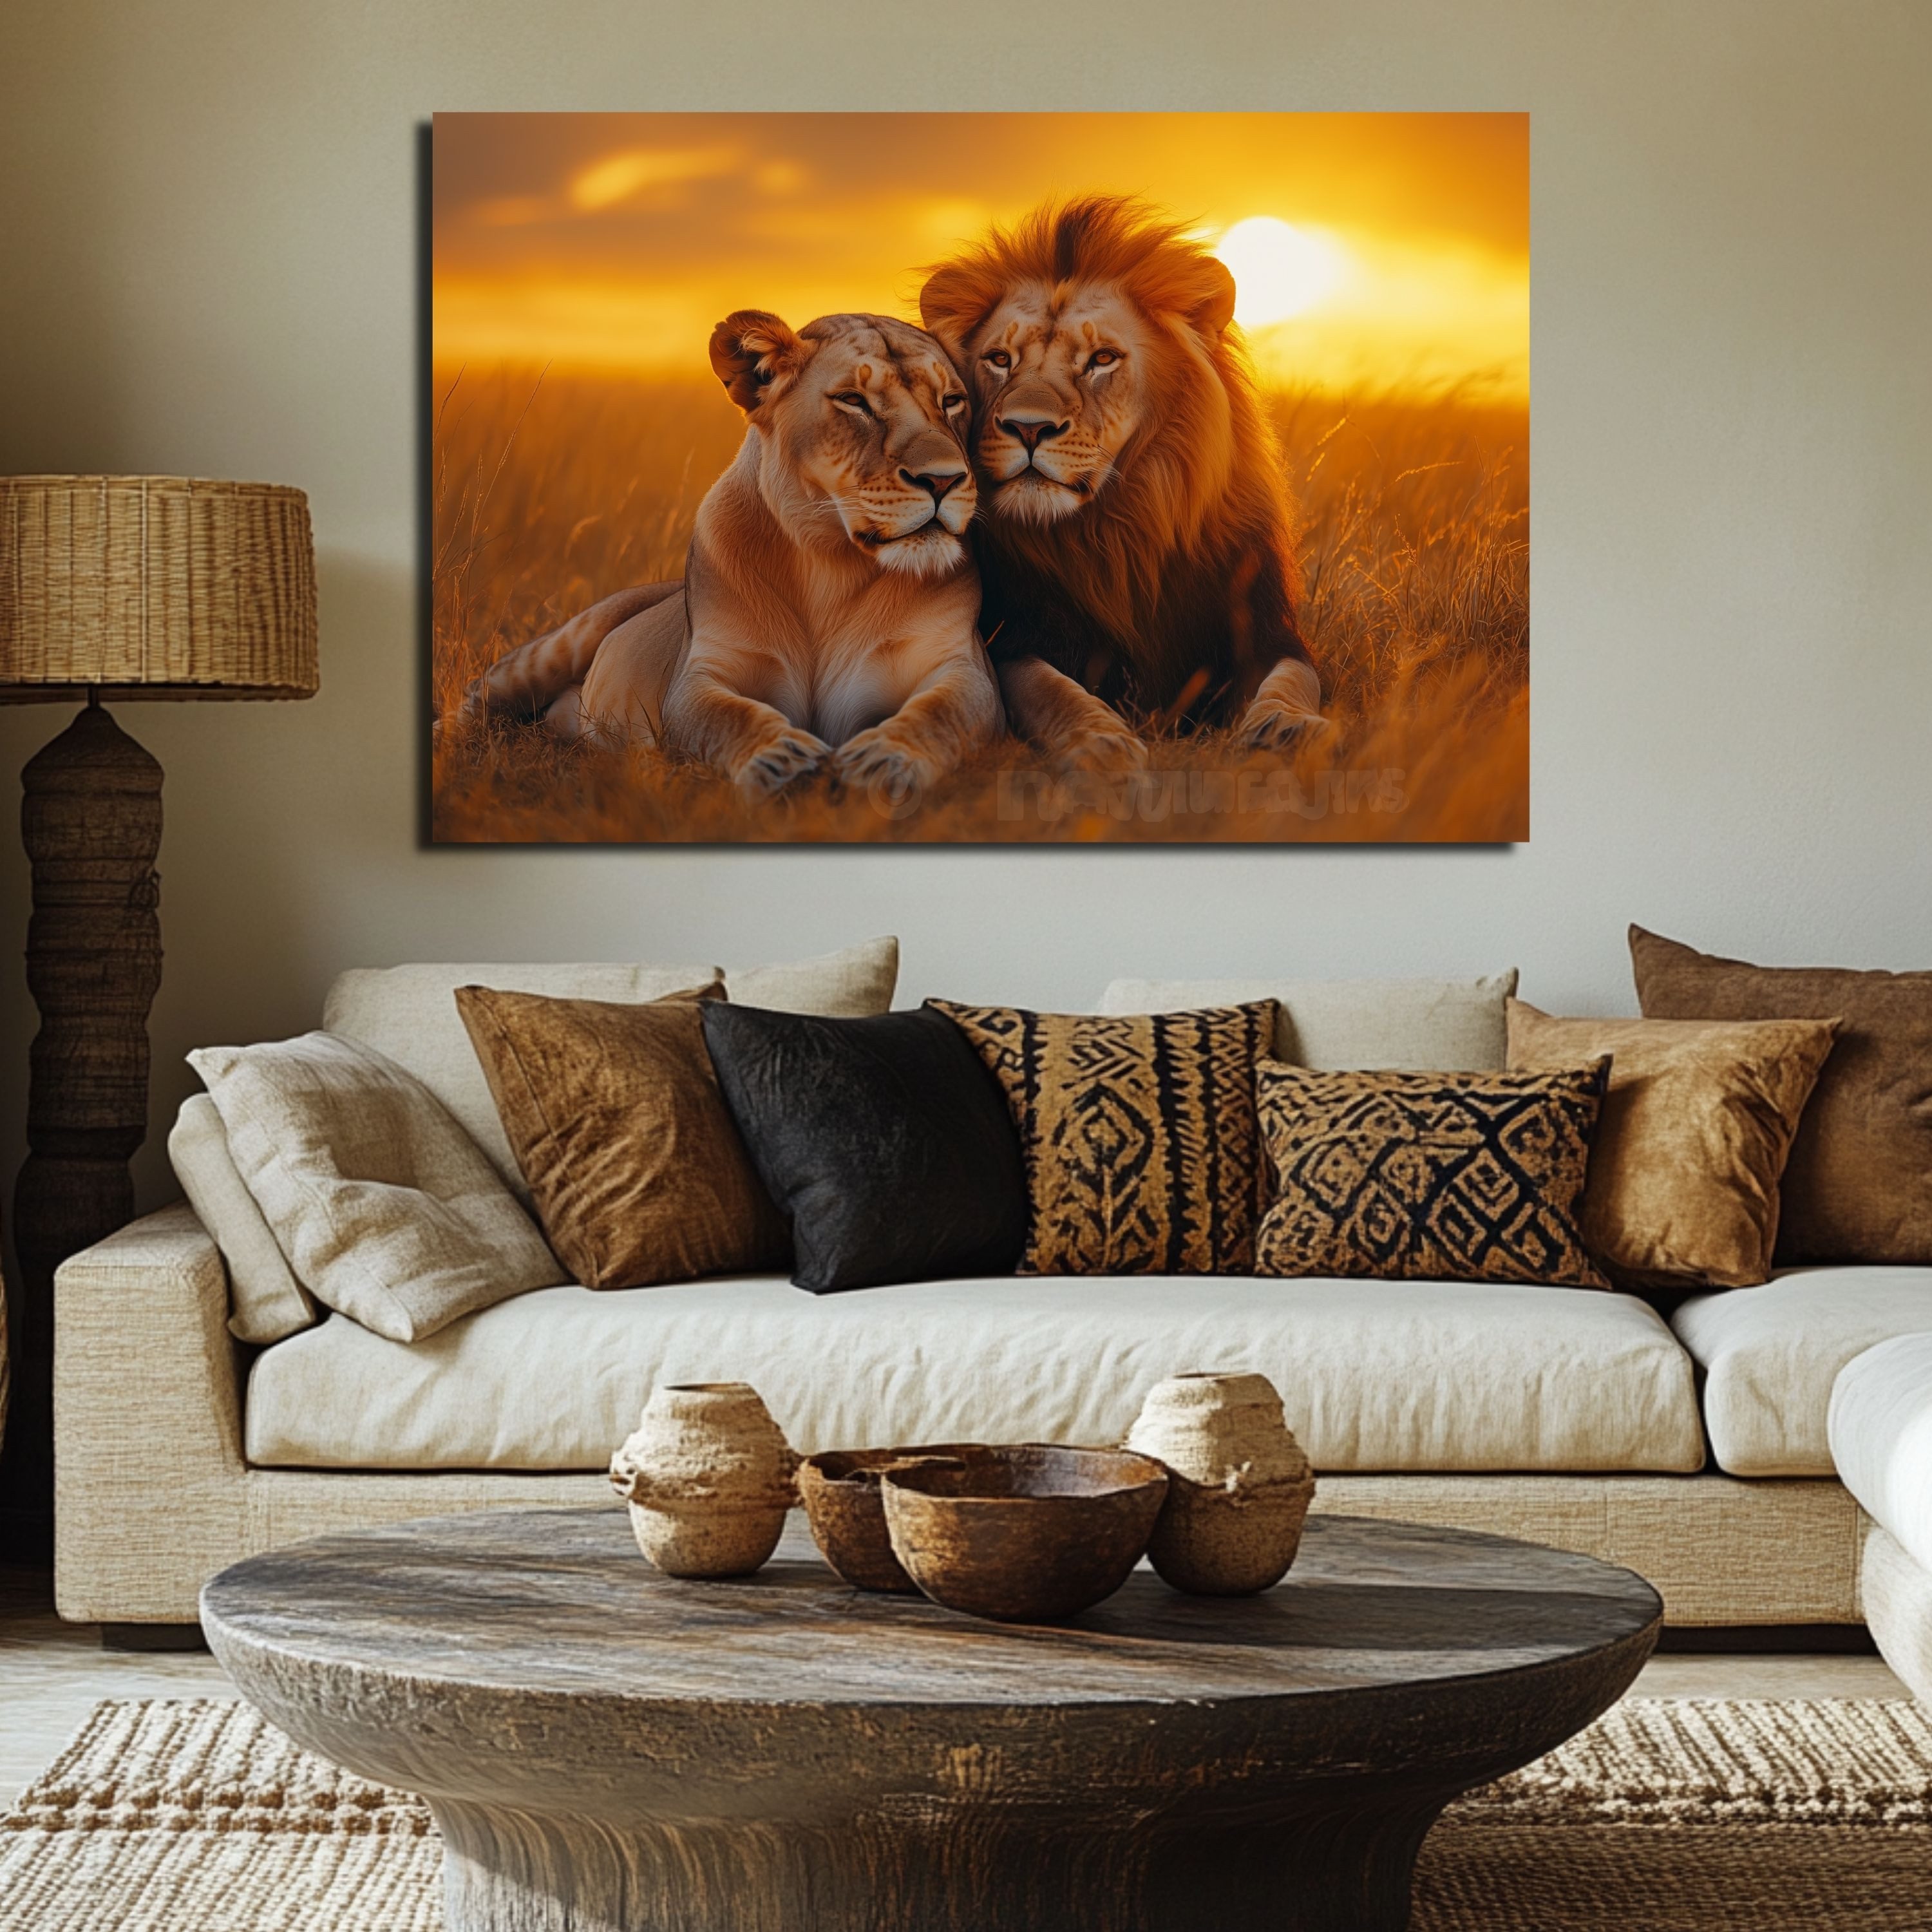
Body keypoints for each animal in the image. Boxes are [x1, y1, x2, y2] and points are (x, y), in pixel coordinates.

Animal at [454, 311, 1001, 798]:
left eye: (952, 401)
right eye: (853, 401)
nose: (944, 480)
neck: (830, 563)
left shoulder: (958, 667)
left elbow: (942, 715)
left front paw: (886, 761)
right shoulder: (700, 674)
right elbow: (726, 716)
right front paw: (781, 760)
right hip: (562, 642)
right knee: (478, 694)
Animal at [918, 196, 1324, 768]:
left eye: (1102, 359)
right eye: (1000, 360)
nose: (1027, 428)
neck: (1117, 531)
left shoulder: (1263, 631)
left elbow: (1294, 680)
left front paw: (1288, 727)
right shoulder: (1014, 637)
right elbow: (1047, 688)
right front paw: (1100, 741)